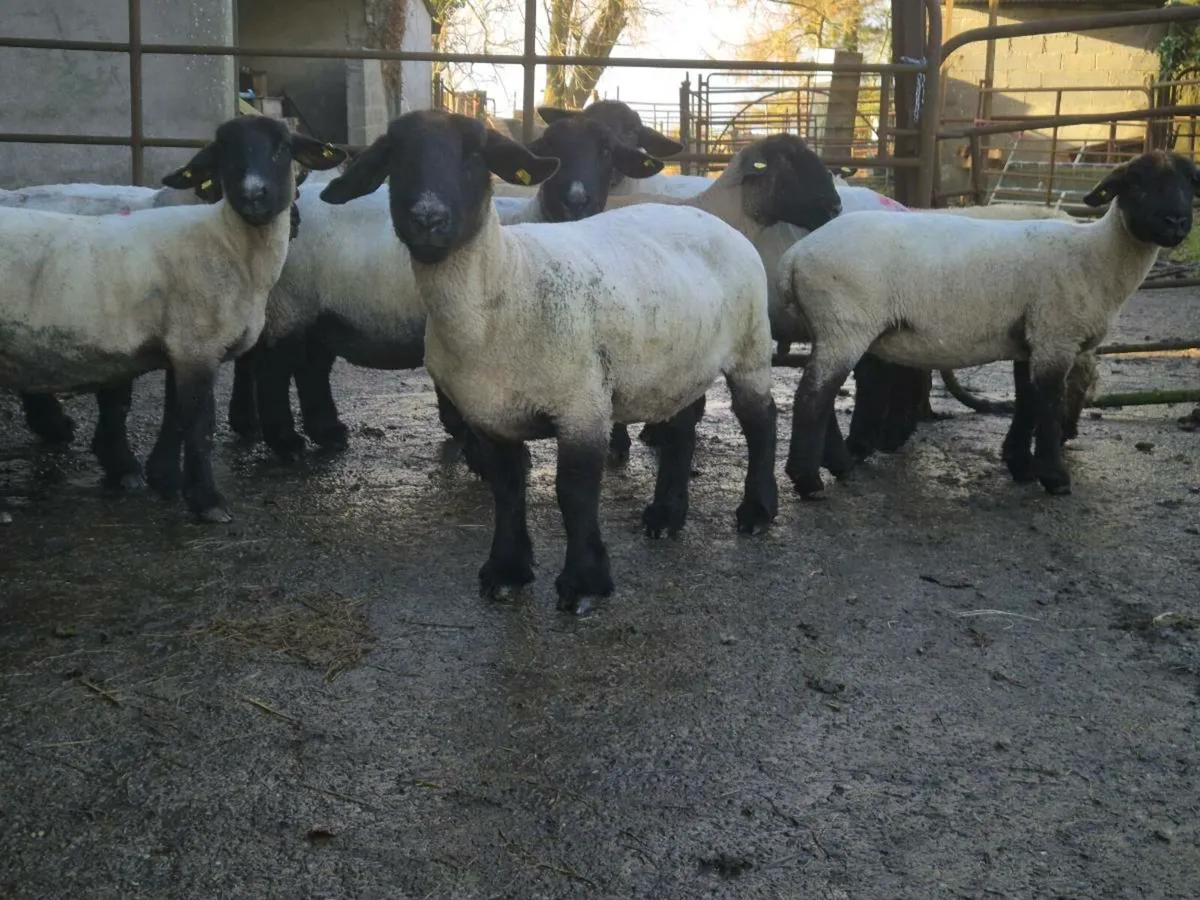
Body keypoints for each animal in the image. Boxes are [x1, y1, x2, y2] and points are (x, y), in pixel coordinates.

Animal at [0, 115, 345, 521]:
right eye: (224, 150)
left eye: (283, 147)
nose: (253, 195)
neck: (228, 242)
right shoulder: (196, 346)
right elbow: (199, 422)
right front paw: (207, 501)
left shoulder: (178, 348)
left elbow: (175, 415)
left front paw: (166, 479)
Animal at [234, 112, 667, 468]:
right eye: (550, 148)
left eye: (607, 152)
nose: (576, 200)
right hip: (289, 304)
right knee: (273, 368)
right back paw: (284, 441)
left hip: (319, 313)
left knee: (309, 368)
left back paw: (326, 432)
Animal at [319, 109, 780, 614]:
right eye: (395, 157)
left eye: (475, 155)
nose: (427, 217)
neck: (502, 285)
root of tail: (708, 217)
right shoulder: (489, 415)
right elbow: (506, 488)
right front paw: (506, 570)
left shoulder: (582, 405)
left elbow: (573, 493)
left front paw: (584, 582)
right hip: (678, 362)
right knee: (681, 429)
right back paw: (665, 515)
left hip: (750, 344)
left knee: (760, 420)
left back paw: (757, 510)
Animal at [776, 149, 1196, 500]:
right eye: (1136, 183)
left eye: (1191, 185)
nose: (1177, 222)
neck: (1095, 255)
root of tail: (795, 255)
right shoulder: (1056, 335)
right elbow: (1048, 403)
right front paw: (1054, 477)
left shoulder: (1031, 339)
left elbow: (1027, 400)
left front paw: (1020, 464)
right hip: (845, 324)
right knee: (812, 397)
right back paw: (808, 480)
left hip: (832, 328)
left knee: (820, 396)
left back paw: (835, 465)